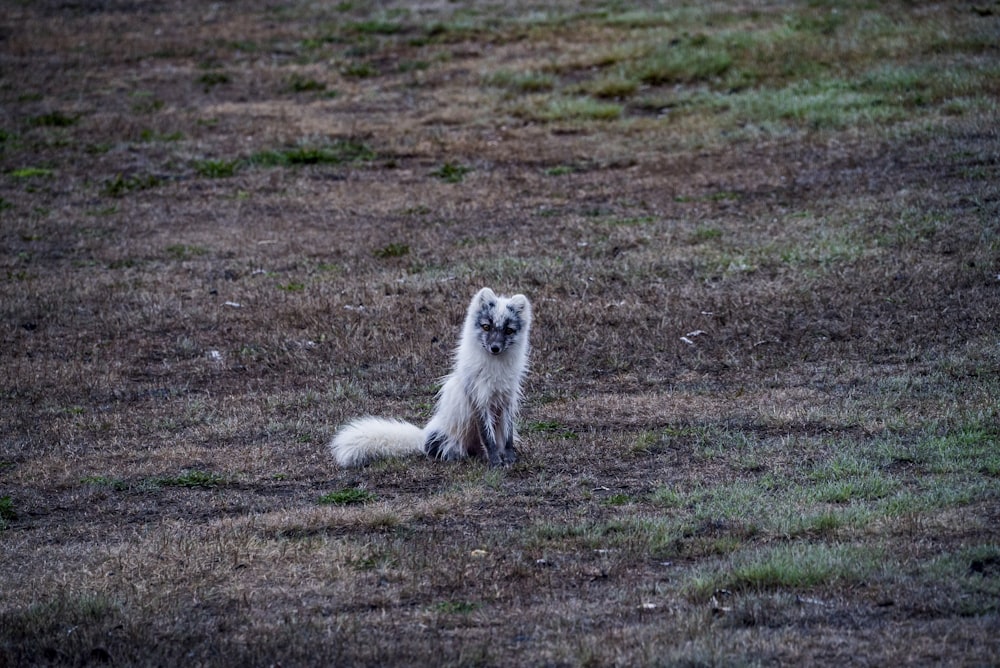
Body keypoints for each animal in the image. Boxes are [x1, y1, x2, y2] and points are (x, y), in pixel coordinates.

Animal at [328, 288, 532, 470]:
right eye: (486, 327)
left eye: (508, 330)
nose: (495, 348)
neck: (496, 368)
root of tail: (423, 437)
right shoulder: (478, 400)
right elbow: (488, 438)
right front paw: (496, 462)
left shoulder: (507, 399)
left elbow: (507, 437)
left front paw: (509, 459)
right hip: (448, 440)